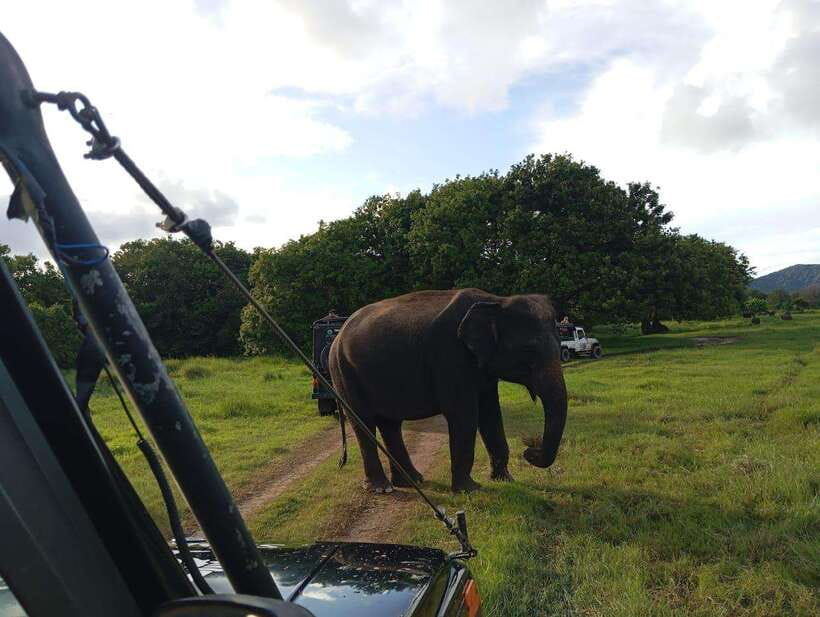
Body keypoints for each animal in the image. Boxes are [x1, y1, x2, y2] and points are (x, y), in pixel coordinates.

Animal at [328, 288, 568, 493]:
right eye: (529, 351)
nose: (529, 450)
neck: (497, 300)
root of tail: (337, 337)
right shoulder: (450, 356)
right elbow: (463, 413)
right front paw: (470, 490)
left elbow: (491, 413)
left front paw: (505, 480)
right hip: (343, 373)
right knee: (364, 422)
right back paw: (382, 488)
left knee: (390, 424)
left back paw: (412, 481)